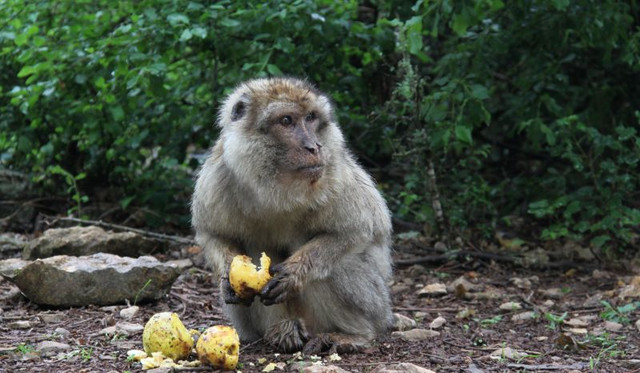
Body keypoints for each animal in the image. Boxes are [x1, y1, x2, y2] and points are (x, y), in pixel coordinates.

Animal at [190, 77, 392, 352]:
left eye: (310, 118)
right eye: (286, 121)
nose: (314, 147)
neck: (276, 185)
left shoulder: (334, 173)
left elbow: (357, 229)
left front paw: (294, 274)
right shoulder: (219, 175)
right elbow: (214, 234)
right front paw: (227, 278)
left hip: (375, 304)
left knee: (340, 263)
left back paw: (355, 335)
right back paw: (283, 329)